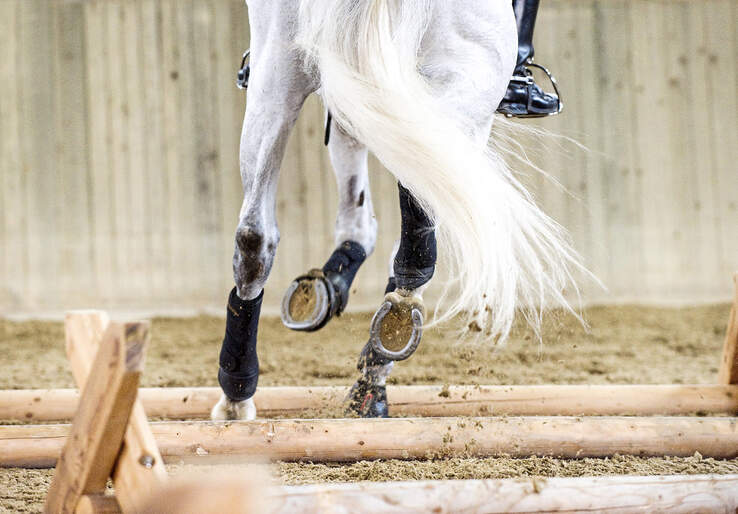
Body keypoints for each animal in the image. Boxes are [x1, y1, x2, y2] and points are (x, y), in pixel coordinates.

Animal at [211, 0, 584, 421]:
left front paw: (334, 278)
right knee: (427, 180)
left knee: (254, 236)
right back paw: (389, 338)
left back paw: (236, 395)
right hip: (470, 71)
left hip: (276, 71)